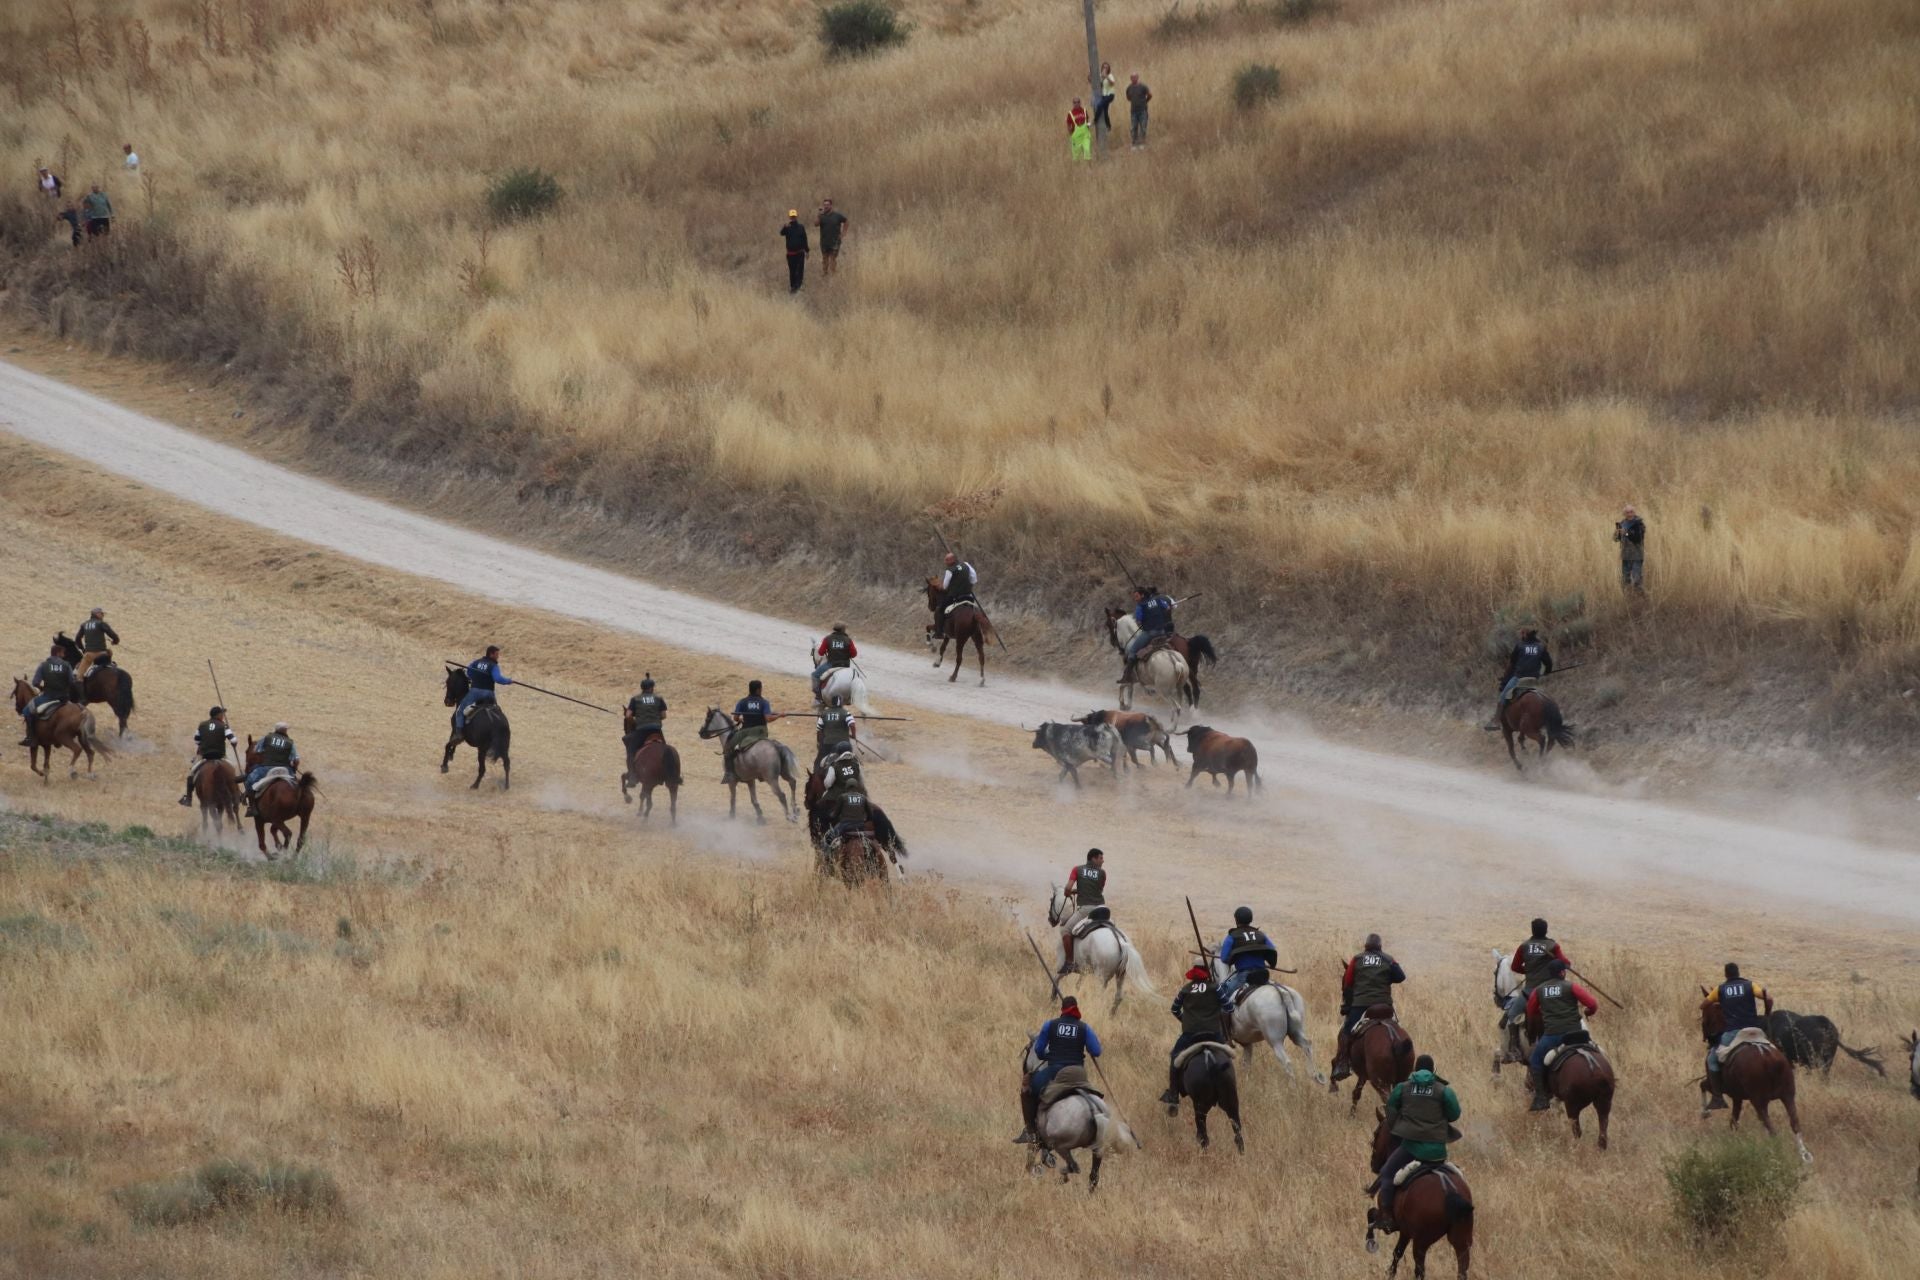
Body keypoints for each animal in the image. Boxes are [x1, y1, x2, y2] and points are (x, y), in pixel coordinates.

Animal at [1213, 955, 1320, 1090]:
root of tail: (1282, 992)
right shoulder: (1247, 1044)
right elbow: (1246, 1065)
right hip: (1297, 1032)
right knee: (1307, 1046)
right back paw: (1316, 1077)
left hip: (1275, 1041)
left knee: (1287, 1062)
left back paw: (1293, 1088)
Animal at [1367, 1113, 1466, 1280]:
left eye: (1376, 1133)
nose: (1373, 1165)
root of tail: (1449, 1192)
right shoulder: (1405, 1231)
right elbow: (1398, 1252)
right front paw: (1390, 1272)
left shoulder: (1393, 1225)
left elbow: (1371, 1214)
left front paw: (1370, 1241)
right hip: (1461, 1243)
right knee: (1462, 1270)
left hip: (1421, 1242)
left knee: (1420, 1269)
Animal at [1704, 997, 1804, 1166]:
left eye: (1704, 1012)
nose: (1707, 1038)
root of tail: (1767, 1057)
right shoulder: (1738, 1097)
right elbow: (1734, 1121)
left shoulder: (1730, 1093)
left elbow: (1704, 1087)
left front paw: (1705, 1111)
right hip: (1787, 1095)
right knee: (1794, 1123)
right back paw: (1804, 1156)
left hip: (1758, 1101)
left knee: (1771, 1129)